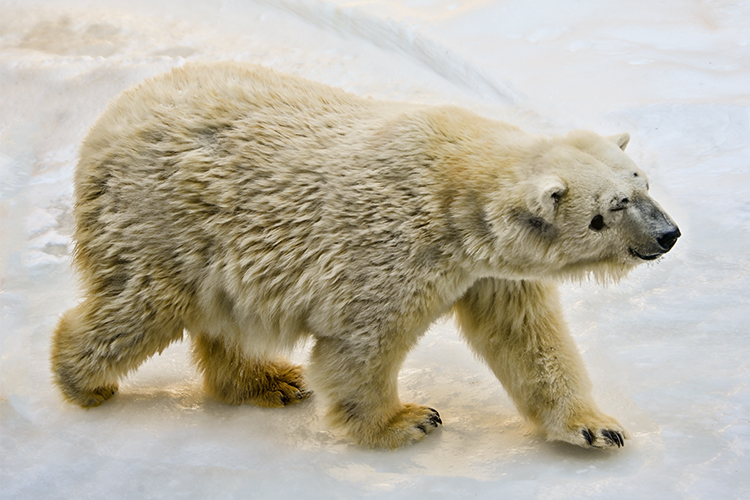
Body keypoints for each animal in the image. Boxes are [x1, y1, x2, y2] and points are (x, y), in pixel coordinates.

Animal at [53, 61, 680, 450]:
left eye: (643, 182)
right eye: (614, 205)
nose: (669, 234)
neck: (455, 190)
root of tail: (107, 121)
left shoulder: (491, 272)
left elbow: (528, 339)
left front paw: (595, 429)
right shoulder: (389, 252)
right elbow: (360, 346)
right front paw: (408, 421)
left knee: (226, 316)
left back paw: (269, 382)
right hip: (159, 222)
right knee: (139, 307)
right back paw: (84, 382)